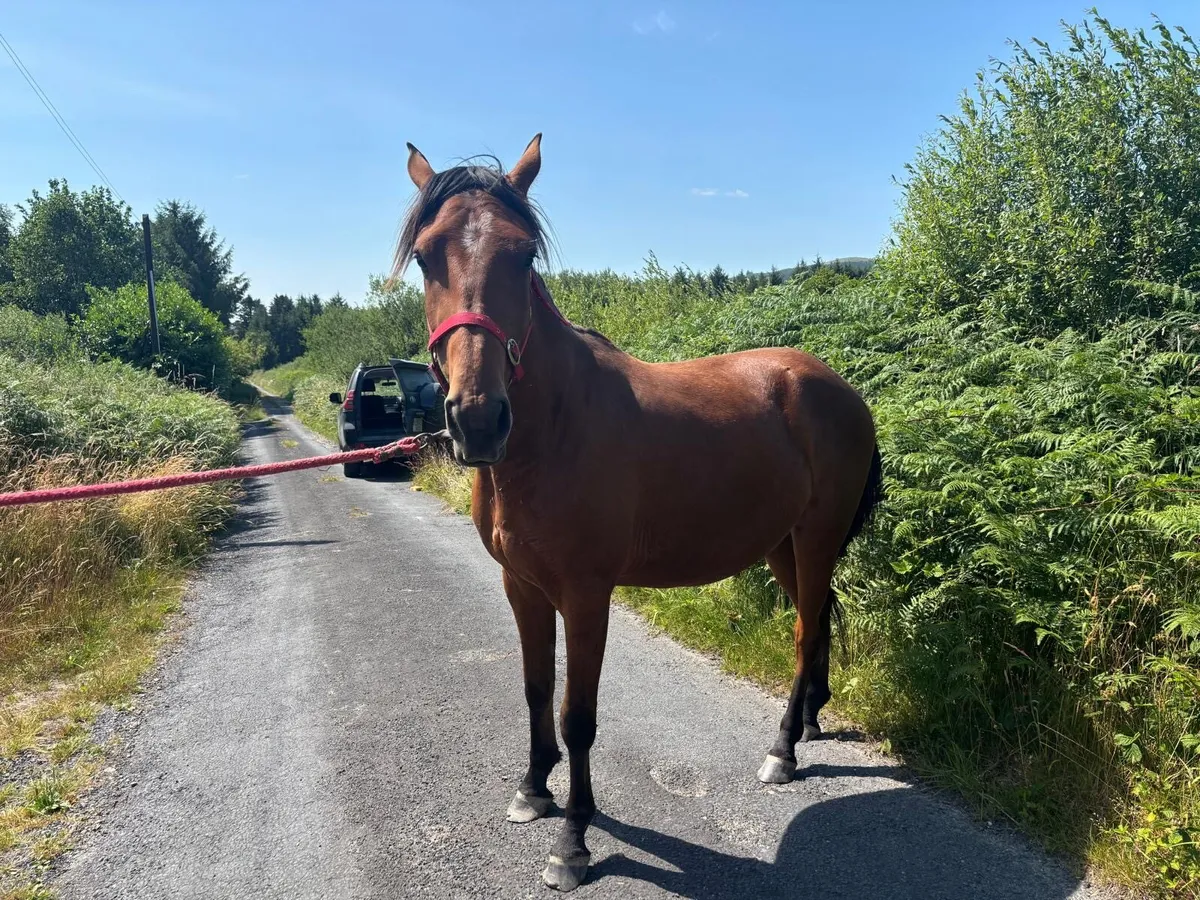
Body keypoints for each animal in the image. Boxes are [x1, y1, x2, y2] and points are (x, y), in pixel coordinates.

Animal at [397, 135, 883, 892]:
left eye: (523, 254)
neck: (554, 429)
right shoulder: (521, 586)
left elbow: (578, 715)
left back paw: (782, 751)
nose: (477, 420)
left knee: (805, 632)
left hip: (817, 535)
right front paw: (532, 790)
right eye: (425, 255)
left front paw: (572, 842)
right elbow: (536, 690)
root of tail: (838, 387)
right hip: (785, 545)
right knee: (820, 615)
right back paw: (808, 723)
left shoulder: (586, 595)